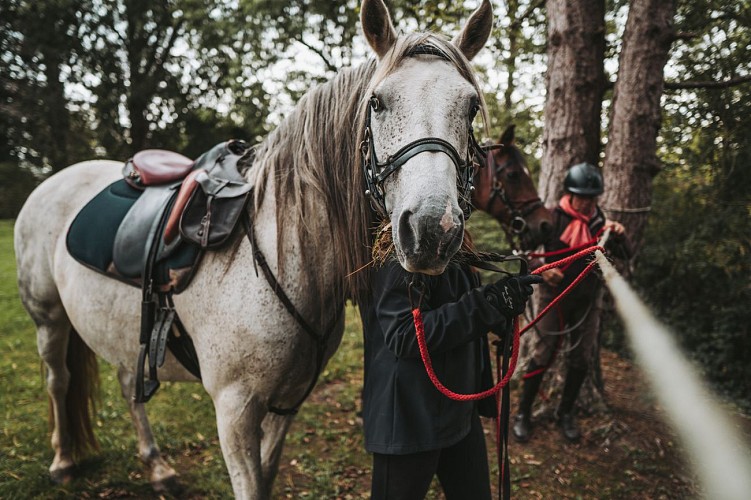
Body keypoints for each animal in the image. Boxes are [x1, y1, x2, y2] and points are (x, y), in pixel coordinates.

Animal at [14, 1, 496, 498]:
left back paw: (157, 466)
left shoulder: (286, 402)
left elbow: (265, 475)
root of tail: (56, 179)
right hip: (48, 319)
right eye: (378, 102)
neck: (283, 256)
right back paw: (63, 461)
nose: (432, 230)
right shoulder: (234, 411)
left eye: (471, 106)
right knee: (58, 379)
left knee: (129, 380)